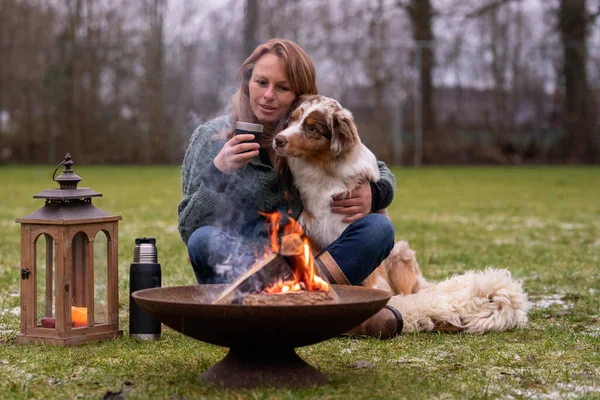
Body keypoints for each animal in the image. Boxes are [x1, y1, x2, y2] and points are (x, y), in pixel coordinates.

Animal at [272, 94, 528, 334]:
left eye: (312, 128)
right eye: (293, 118)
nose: (278, 139)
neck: (323, 172)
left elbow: (373, 277)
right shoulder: (311, 233)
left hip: (400, 252)